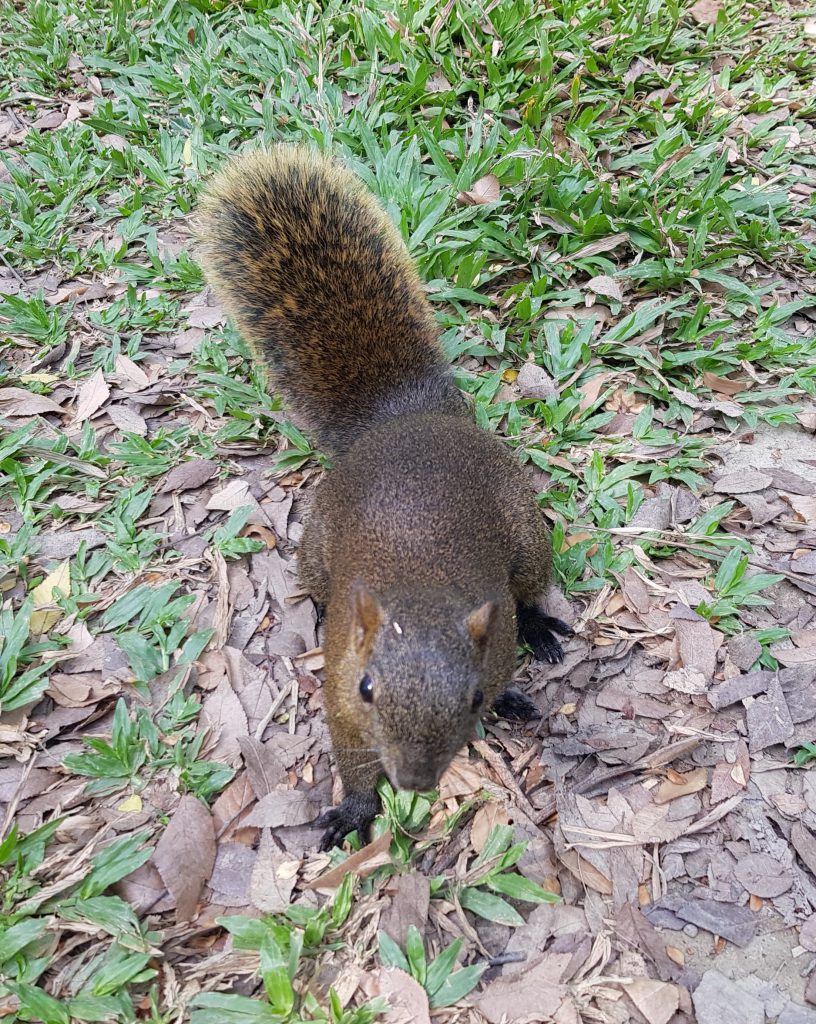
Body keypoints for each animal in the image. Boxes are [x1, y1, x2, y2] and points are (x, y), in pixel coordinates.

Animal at [195, 144, 573, 847]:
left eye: (472, 696)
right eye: (368, 687)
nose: (417, 782)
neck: (416, 586)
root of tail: (404, 419)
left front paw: (511, 695)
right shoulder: (342, 700)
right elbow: (350, 759)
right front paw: (355, 810)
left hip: (527, 535)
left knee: (531, 585)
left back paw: (539, 623)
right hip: (316, 549)